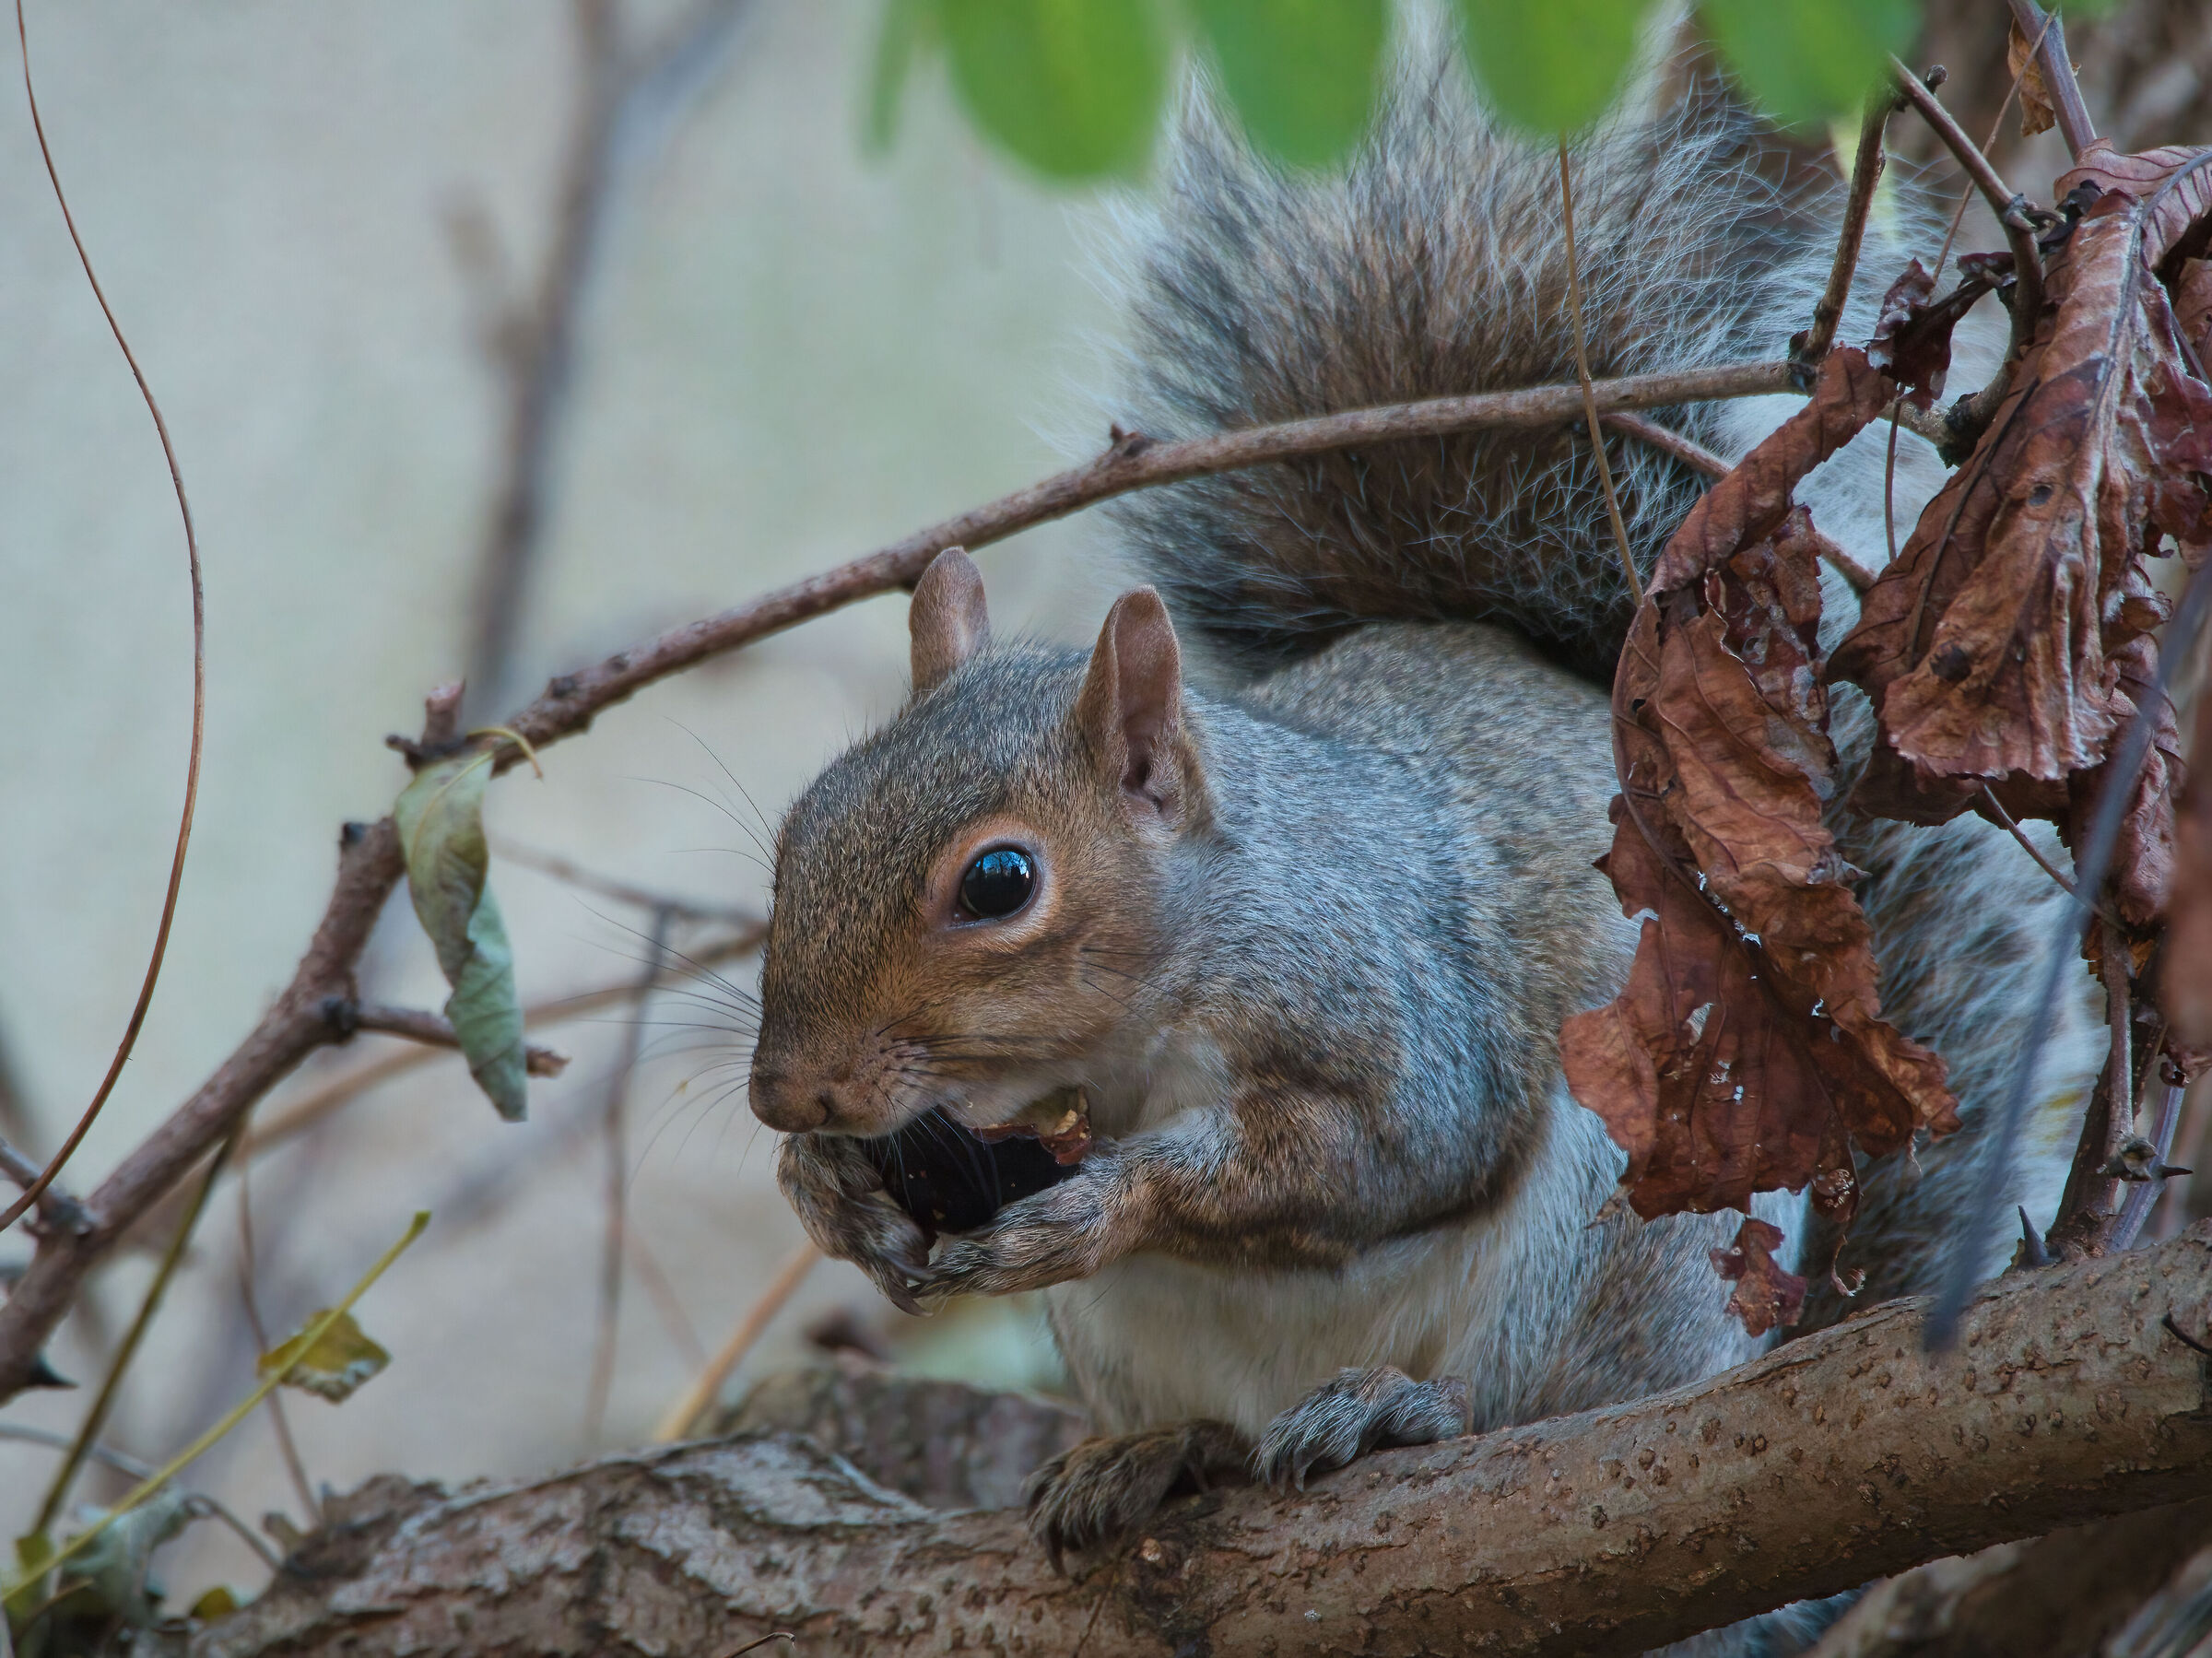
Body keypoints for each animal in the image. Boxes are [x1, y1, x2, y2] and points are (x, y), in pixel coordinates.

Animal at [744, 60, 2102, 1592]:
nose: (784, 1091)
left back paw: (1403, 1407)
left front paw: (1111, 1196)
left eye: (998, 881)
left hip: (1608, 1229)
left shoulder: (1398, 987)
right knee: (1220, 1429)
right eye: (798, 826)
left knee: (1538, 1399)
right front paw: (826, 1187)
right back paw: (1153, 1452)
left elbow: (1393, 1150)